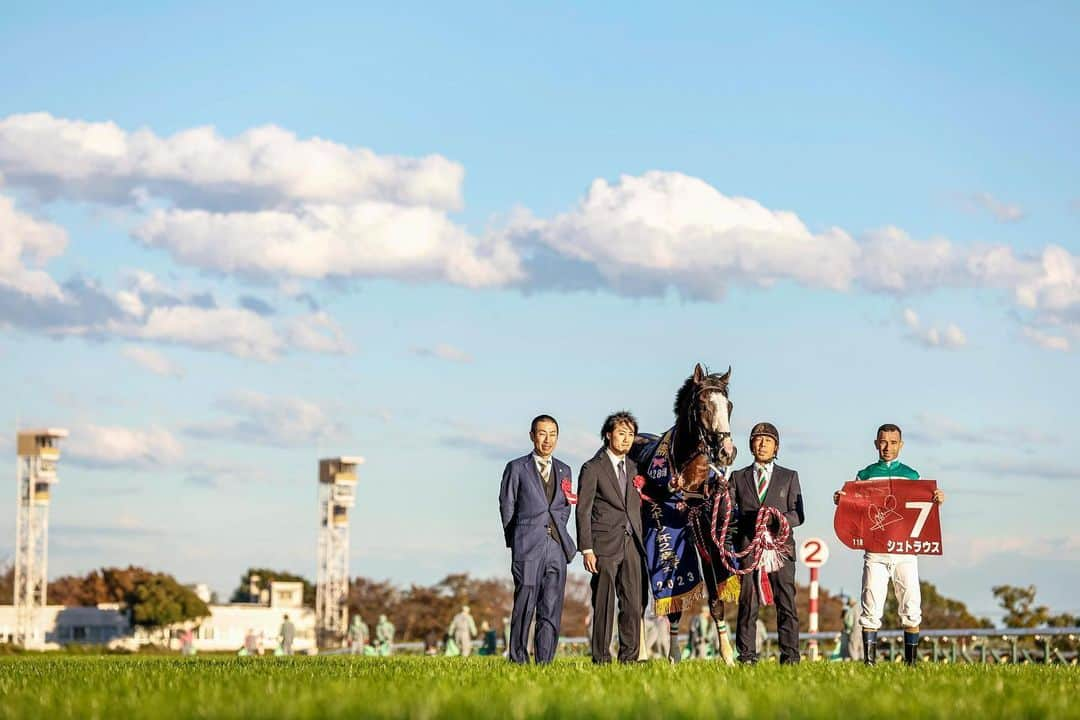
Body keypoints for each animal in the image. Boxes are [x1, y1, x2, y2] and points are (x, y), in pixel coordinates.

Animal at [630, 362, 781, 660]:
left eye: (729, 405)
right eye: (702, 405)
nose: (726, 452)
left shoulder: (709, 536)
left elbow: (715, 600)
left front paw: (728, 656)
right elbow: (673, 604)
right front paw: (673, 656)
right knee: (638, 599)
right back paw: (640, 653)